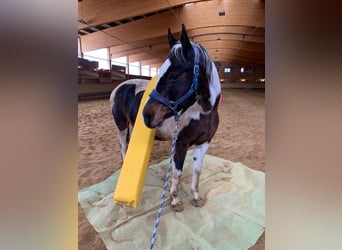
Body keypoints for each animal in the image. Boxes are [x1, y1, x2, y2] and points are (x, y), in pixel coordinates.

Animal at [110, 23, 222, 211]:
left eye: (174, 74)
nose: (147, 115)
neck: (203, 112)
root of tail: (119, 87)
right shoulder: (181, 144)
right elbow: (177, 172)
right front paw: (175, 200)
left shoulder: (204, 143)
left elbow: (197, 172)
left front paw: (196, 198)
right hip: (121, 125)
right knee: (123, 147)